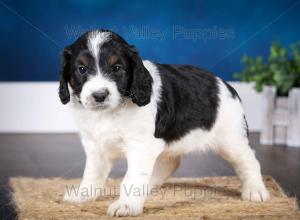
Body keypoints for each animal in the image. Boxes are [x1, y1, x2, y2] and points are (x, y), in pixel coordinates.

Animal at [58, 29, 270, 217]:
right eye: (81, 69)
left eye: (116, 68)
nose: (99, 95)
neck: (110, 113)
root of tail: (226, 85)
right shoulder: (96, 146)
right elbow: (91, 173)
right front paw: (82, 196)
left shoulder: (141, 146)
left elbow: (132, 177)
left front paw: (126, 205)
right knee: (170, 162)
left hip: (231, 139)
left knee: (249, 160)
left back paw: (255, 190)